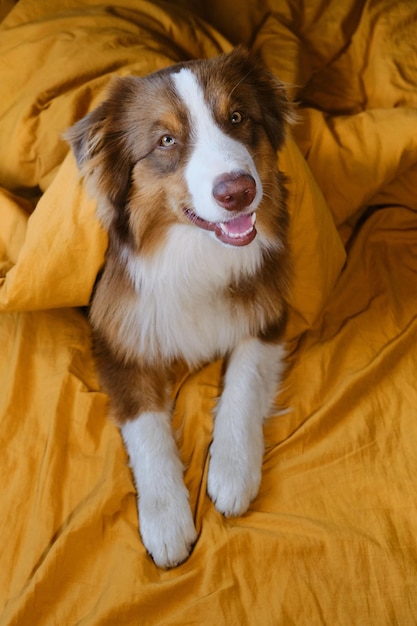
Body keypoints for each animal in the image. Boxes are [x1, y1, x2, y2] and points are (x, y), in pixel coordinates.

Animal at [65, 46, 292, 568]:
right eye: (166, 140)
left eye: (237, 117)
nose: (238, 192)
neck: (193, 253)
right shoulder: (115, 338)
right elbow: (146, 426)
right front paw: (165, 520)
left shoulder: (270, 306)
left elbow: (245, 379)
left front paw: (232, 470)